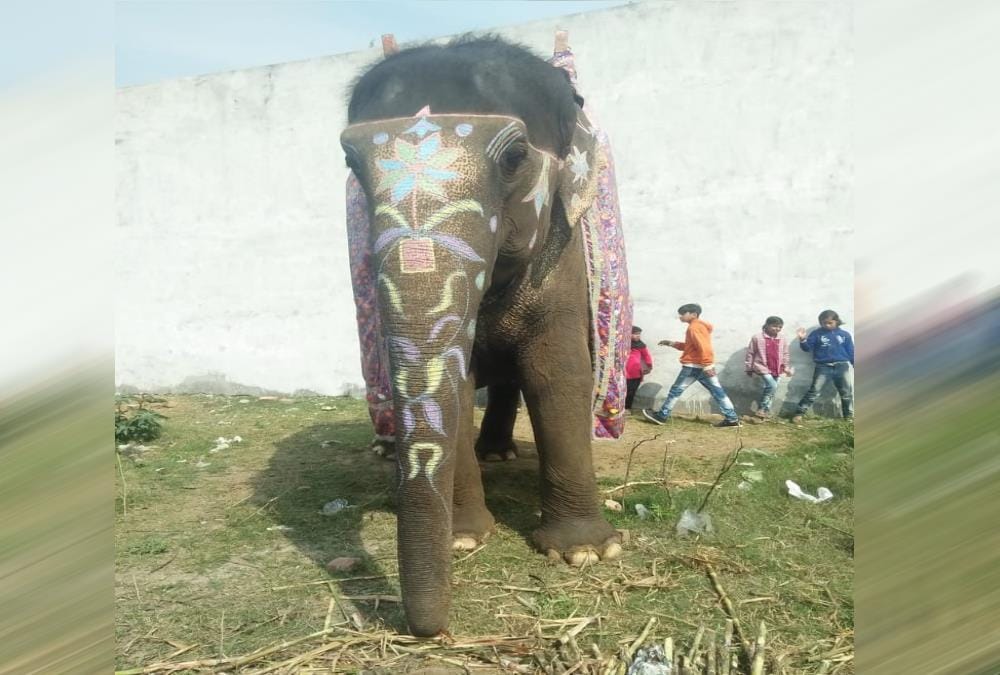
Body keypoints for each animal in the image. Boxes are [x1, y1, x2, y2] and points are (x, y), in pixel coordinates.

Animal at [340, 36, 631, 636]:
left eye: (515, 157)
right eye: (351, 163)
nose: (429, 630)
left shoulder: (561, 256)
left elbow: (557, 372)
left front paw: (586, 553)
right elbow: (457, 375)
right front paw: (464, 539)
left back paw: (499, 452)